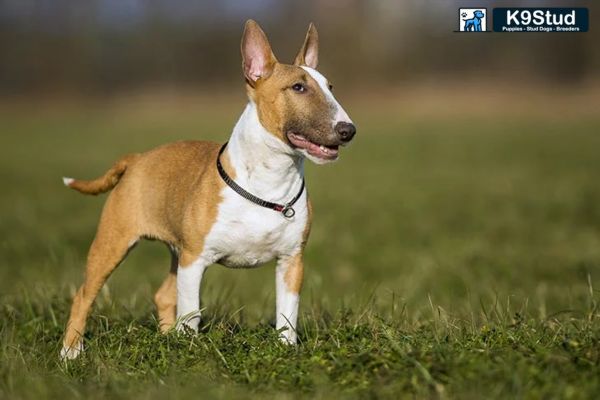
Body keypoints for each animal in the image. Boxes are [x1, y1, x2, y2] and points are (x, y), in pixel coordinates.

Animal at [59, 19, 356, 360]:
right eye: (298, 87)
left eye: (330, 87)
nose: (348, 130)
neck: (268, 182)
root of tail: (137, 159)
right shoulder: (195, 260)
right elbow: (191, 313)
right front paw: (189, 352)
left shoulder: (291, 262)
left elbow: (287, 314)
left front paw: (285, 351)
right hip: (115, 241)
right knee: (84, 294)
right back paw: (70, 352)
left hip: (175, 252)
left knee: (163, 295)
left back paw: (165, 339)